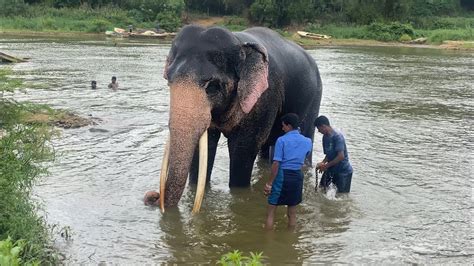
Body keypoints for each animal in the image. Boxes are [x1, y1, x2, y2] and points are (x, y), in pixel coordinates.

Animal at [158, 25, 322, 212]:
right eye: (169, 79)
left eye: (212, 86)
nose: (153, 198)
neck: (239, 42)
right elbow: (206, 146)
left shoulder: (263, 97)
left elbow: (243, 148)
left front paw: (238, 193)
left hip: (313, 97)